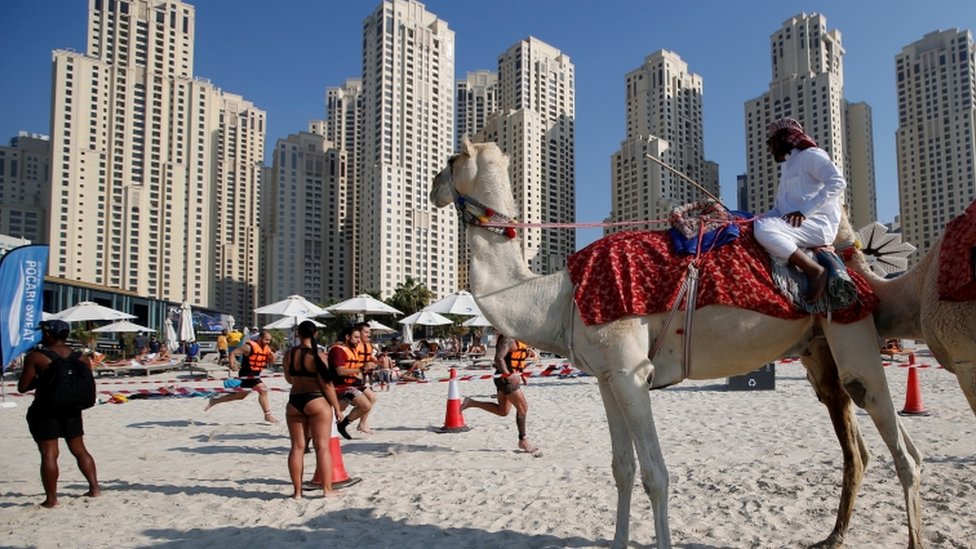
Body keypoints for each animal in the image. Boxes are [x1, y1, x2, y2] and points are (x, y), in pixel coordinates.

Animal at [432, 138, 924, 548]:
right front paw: (617, 542)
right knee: (864, 445)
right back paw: (832, 537)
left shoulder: (632, 373)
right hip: (818, 348)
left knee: (904, 450)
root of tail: (851, 257)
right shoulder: (607, 378)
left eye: (453, 159)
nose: (434, 187)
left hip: (852, 329)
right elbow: (623, 468)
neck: (556, 296)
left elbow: (656, 473)